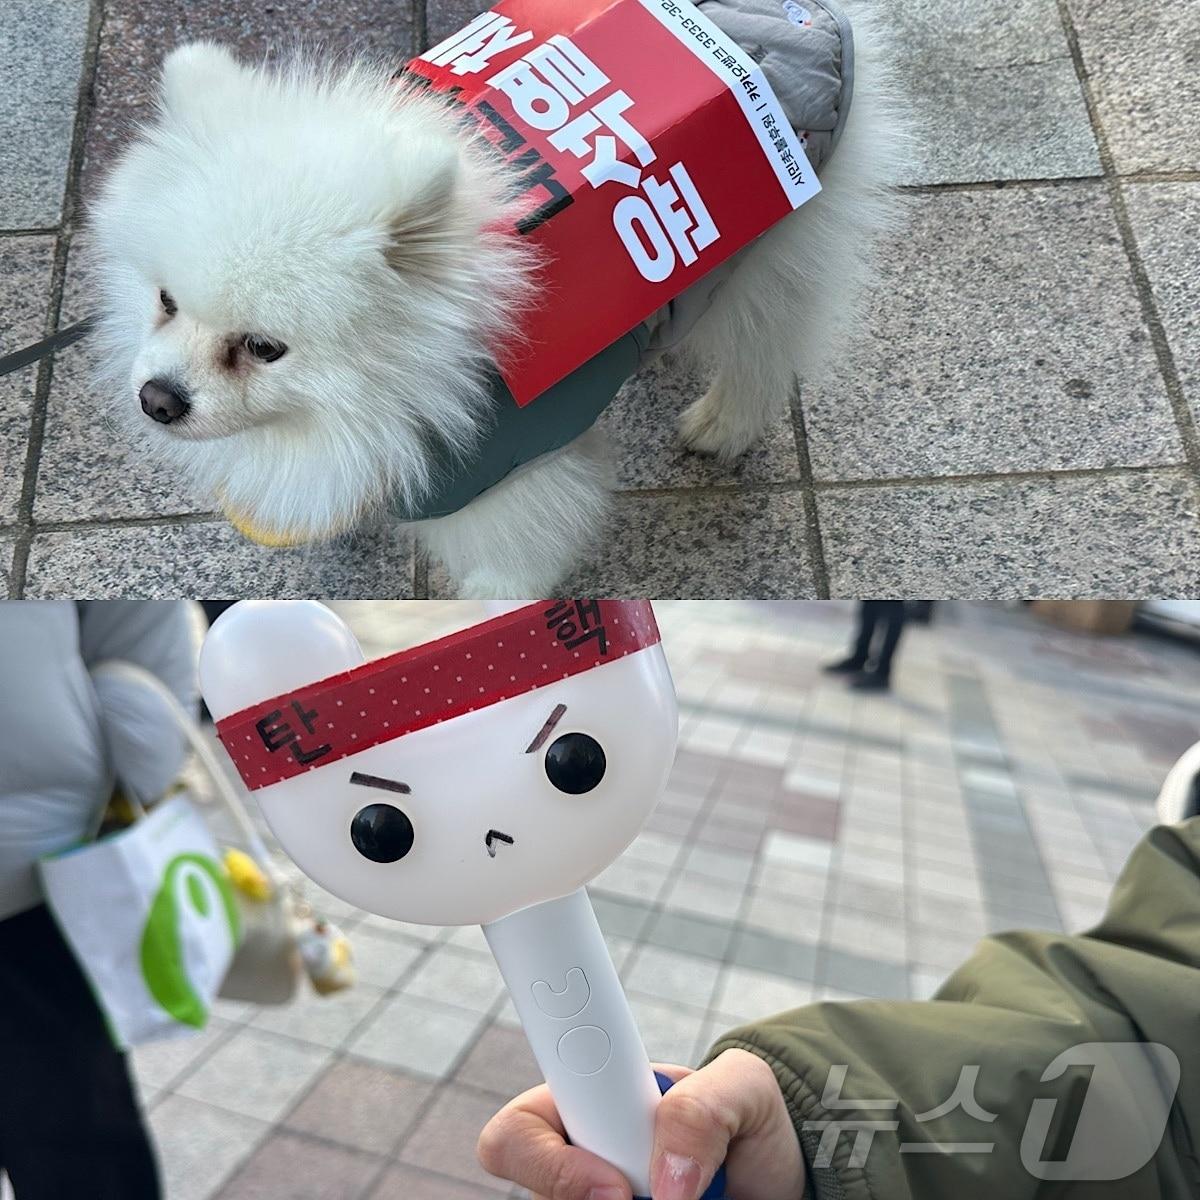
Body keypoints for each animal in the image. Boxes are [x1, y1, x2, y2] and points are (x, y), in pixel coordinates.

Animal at [87, 3, 907, 595]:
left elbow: (506, 578)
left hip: (773, 255)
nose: (157, 400)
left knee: (764, 347)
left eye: (264, 348)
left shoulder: (518, 480)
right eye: (165, 300)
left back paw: (722, 423)